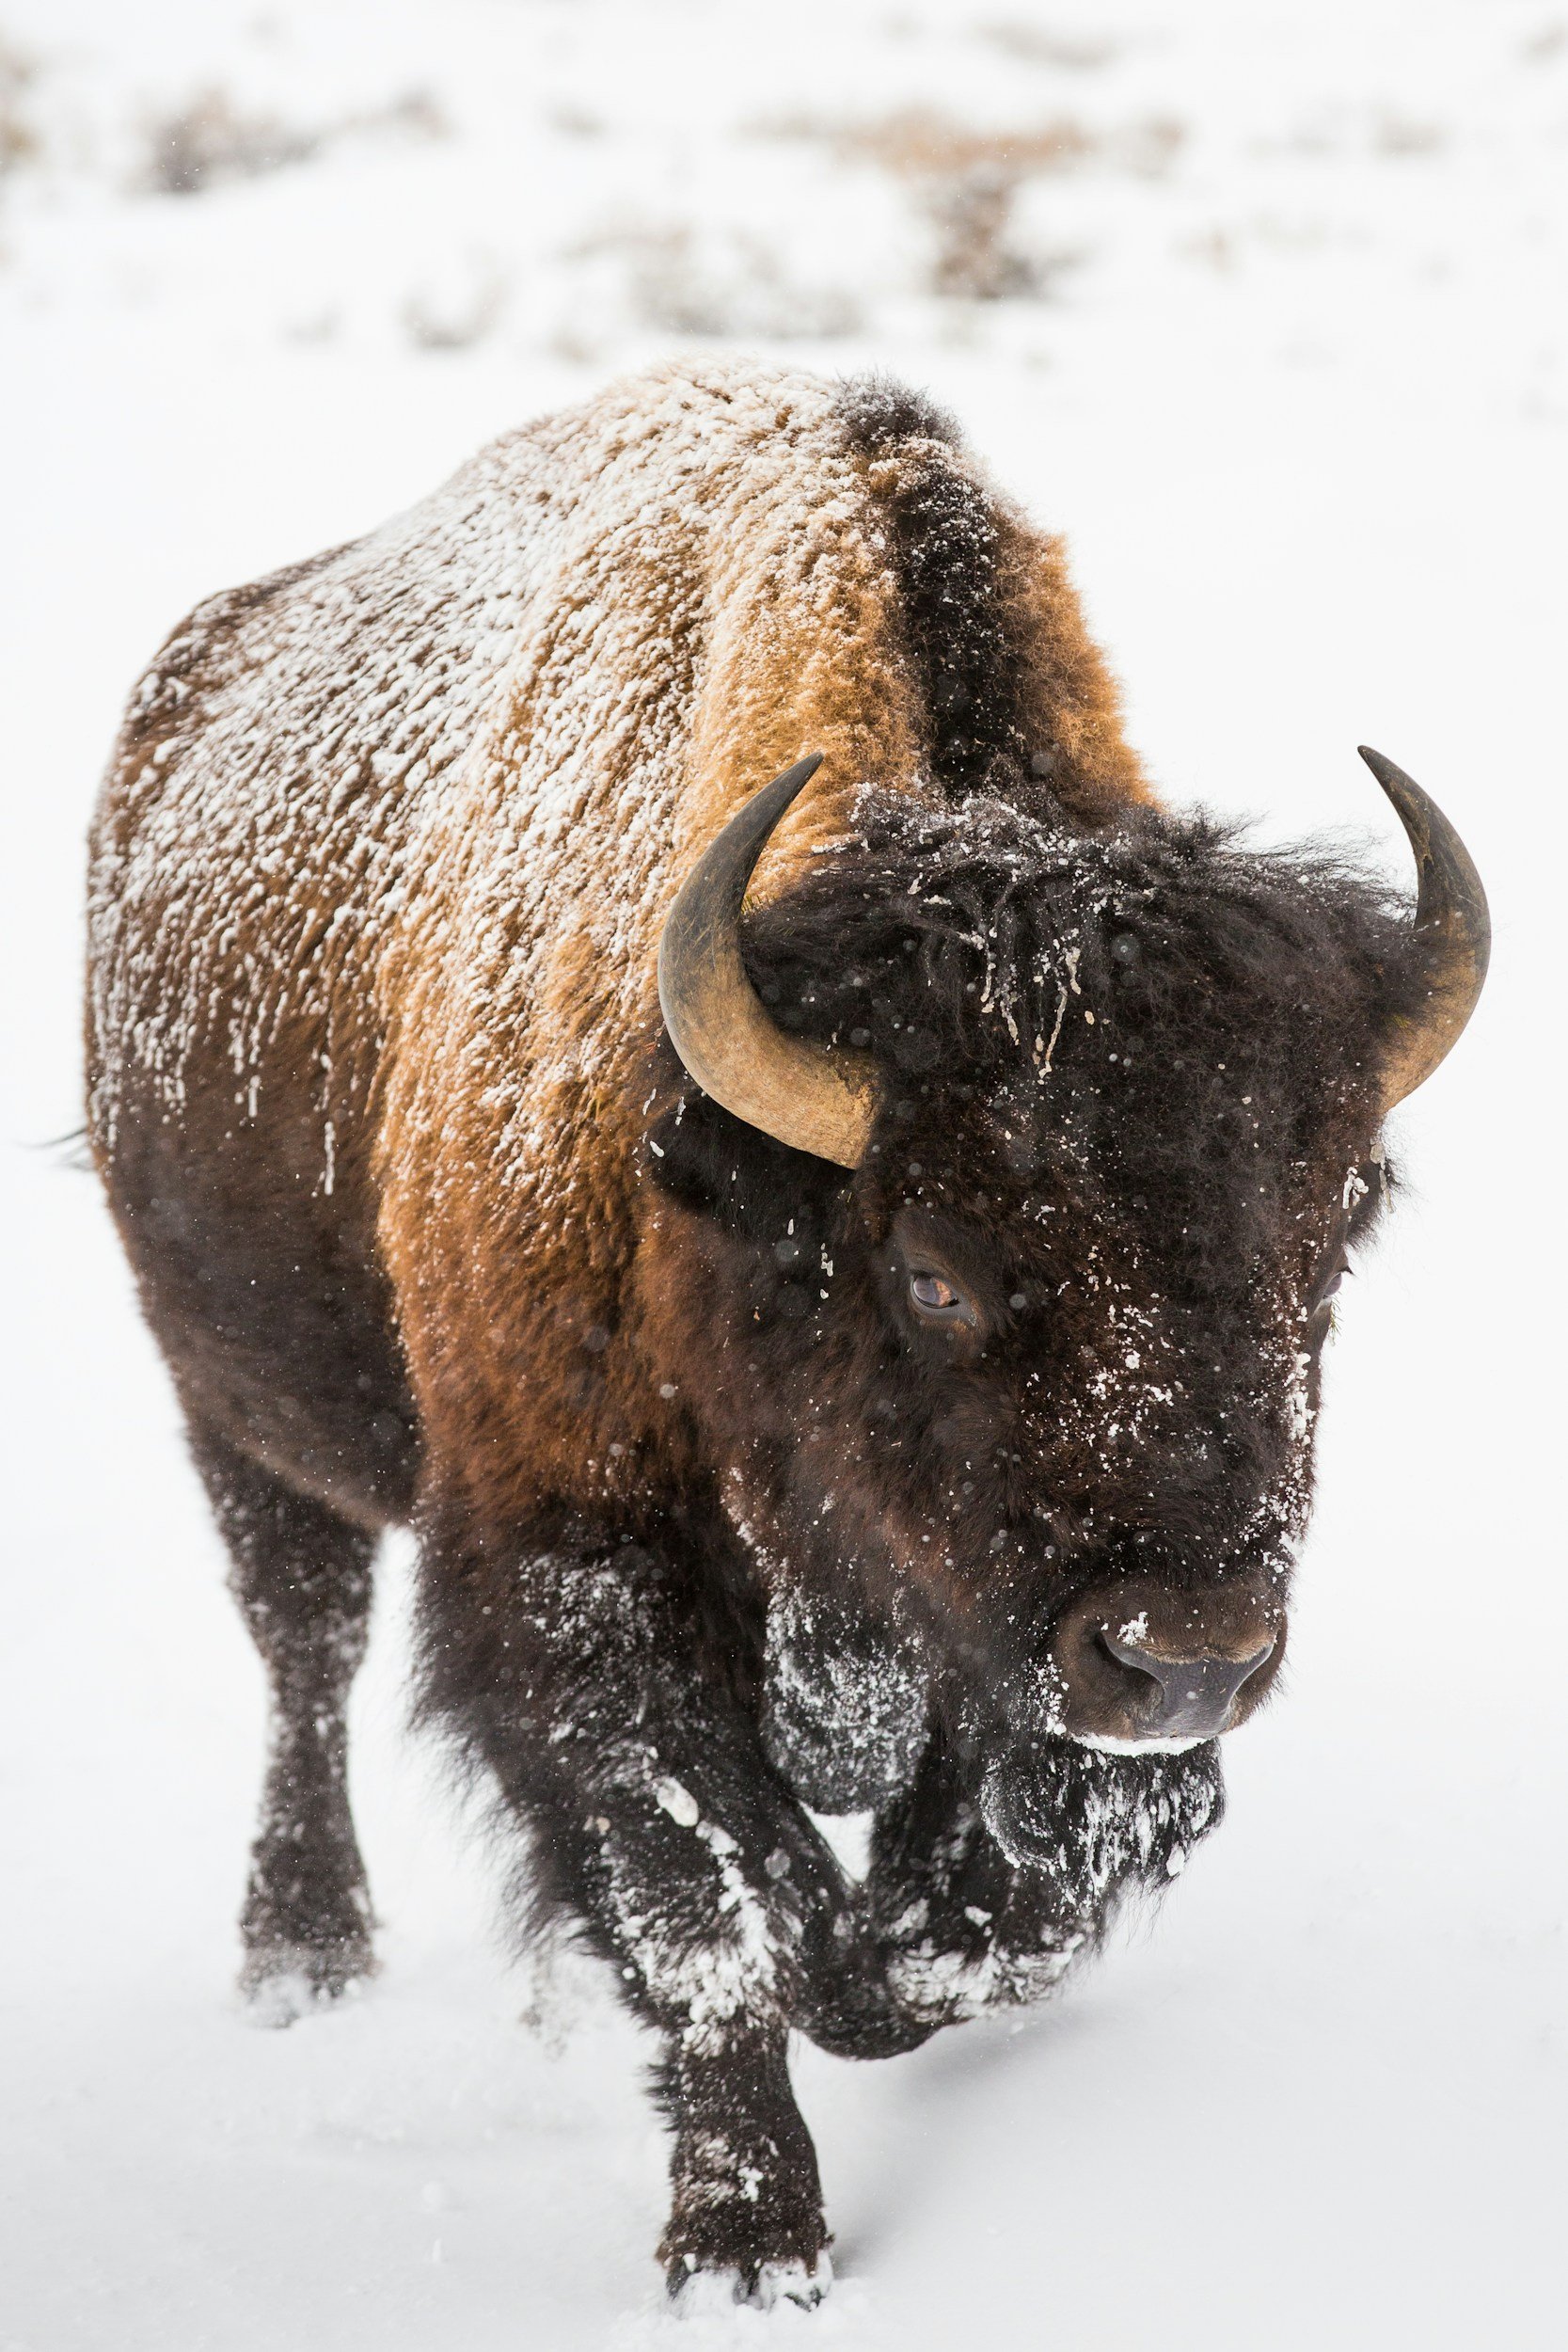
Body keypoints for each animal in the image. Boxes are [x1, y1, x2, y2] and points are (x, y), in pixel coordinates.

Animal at [85, 361, 1488, 2307]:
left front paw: (882, 1974)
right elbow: (711, 1907)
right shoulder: (578, 1562)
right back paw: (302, 1955)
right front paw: (748, 2244)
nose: (1188, 1657)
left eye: (1332, 1228)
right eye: (934, 1269)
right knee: (303, 1646)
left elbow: (994, 1905)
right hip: (237, 1407)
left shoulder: (1002, 1645)